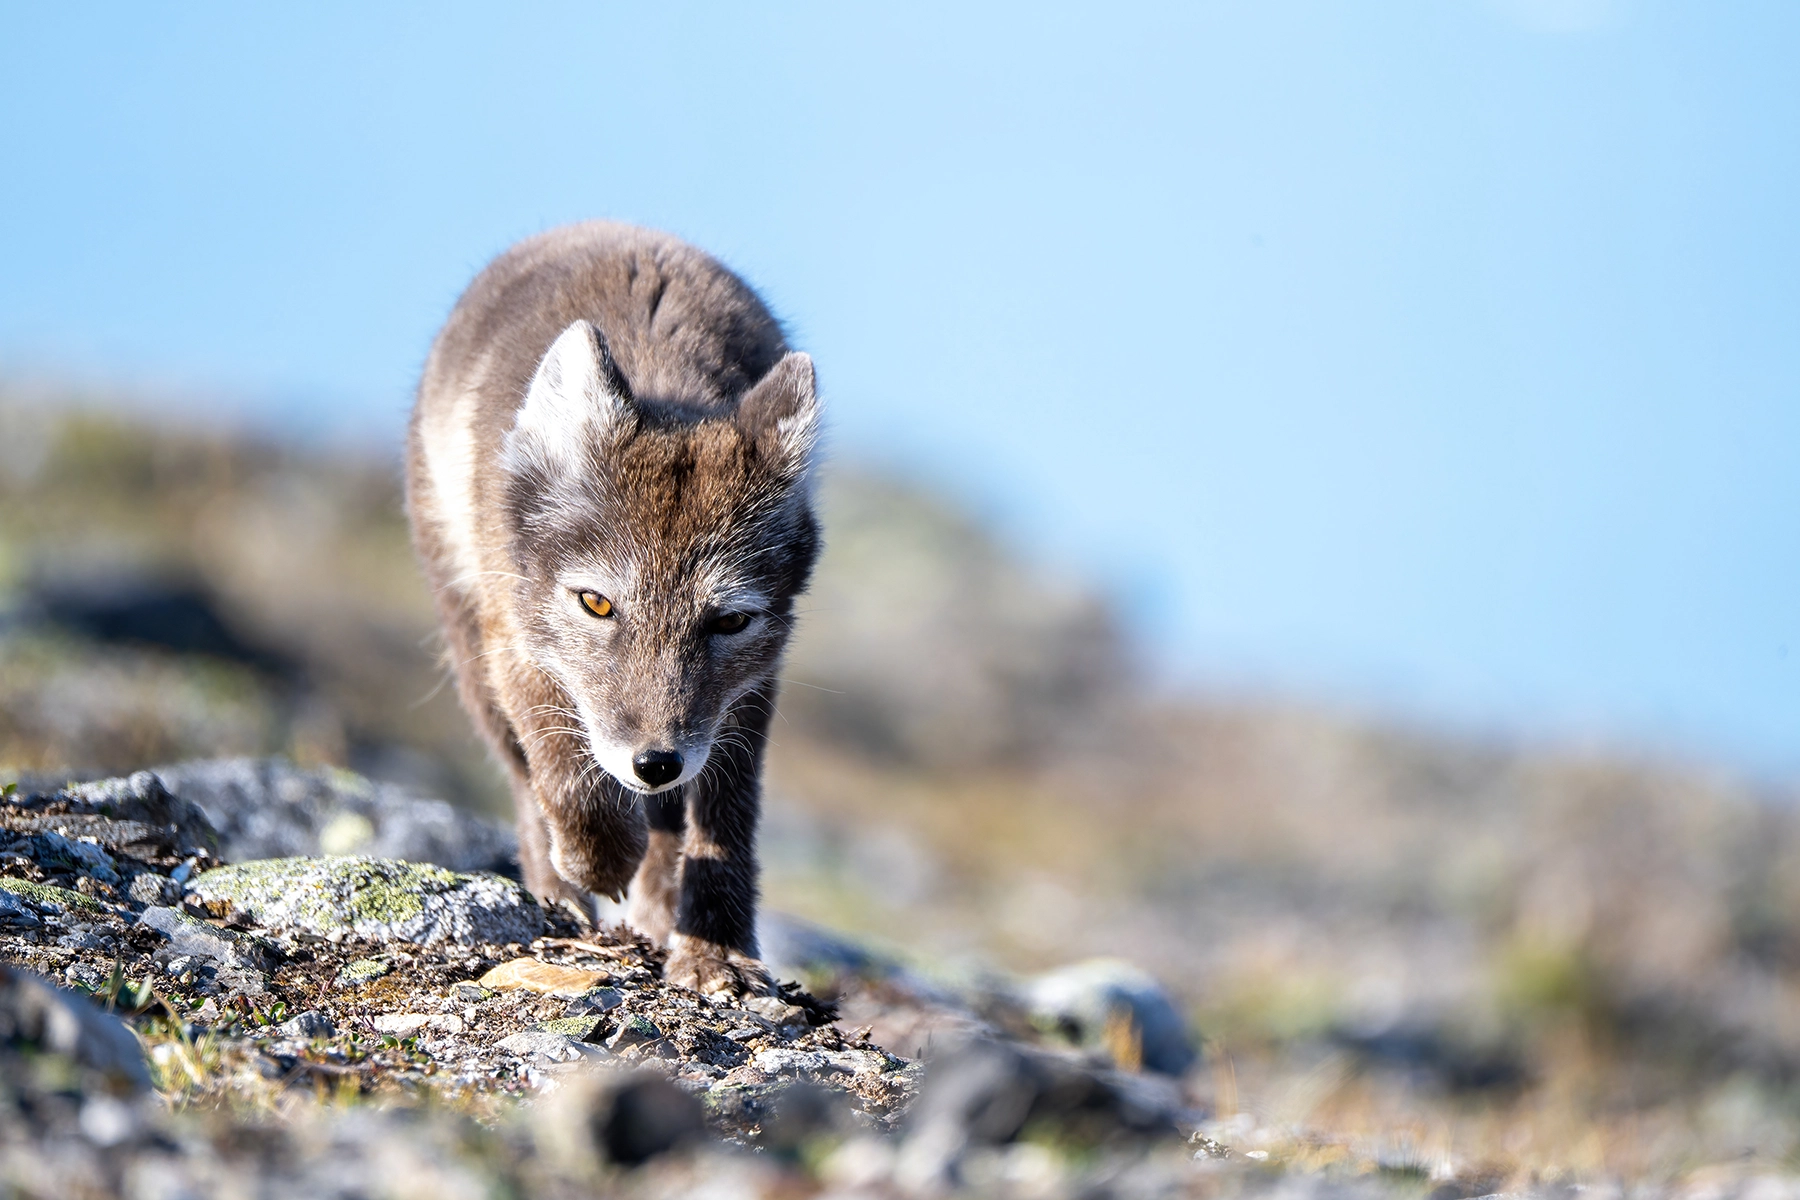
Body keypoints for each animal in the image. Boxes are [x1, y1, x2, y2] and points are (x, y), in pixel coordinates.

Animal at [405, 221, 821, 997]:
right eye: (596, 603)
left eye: (729, 621)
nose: (654, 762)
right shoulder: (516, 641)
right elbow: (569, 777)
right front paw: (598, 862)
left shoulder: (749, 693)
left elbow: (724, 824)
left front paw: (717, 949)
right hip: (468, 639)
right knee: (527, 781)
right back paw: (559, 896)